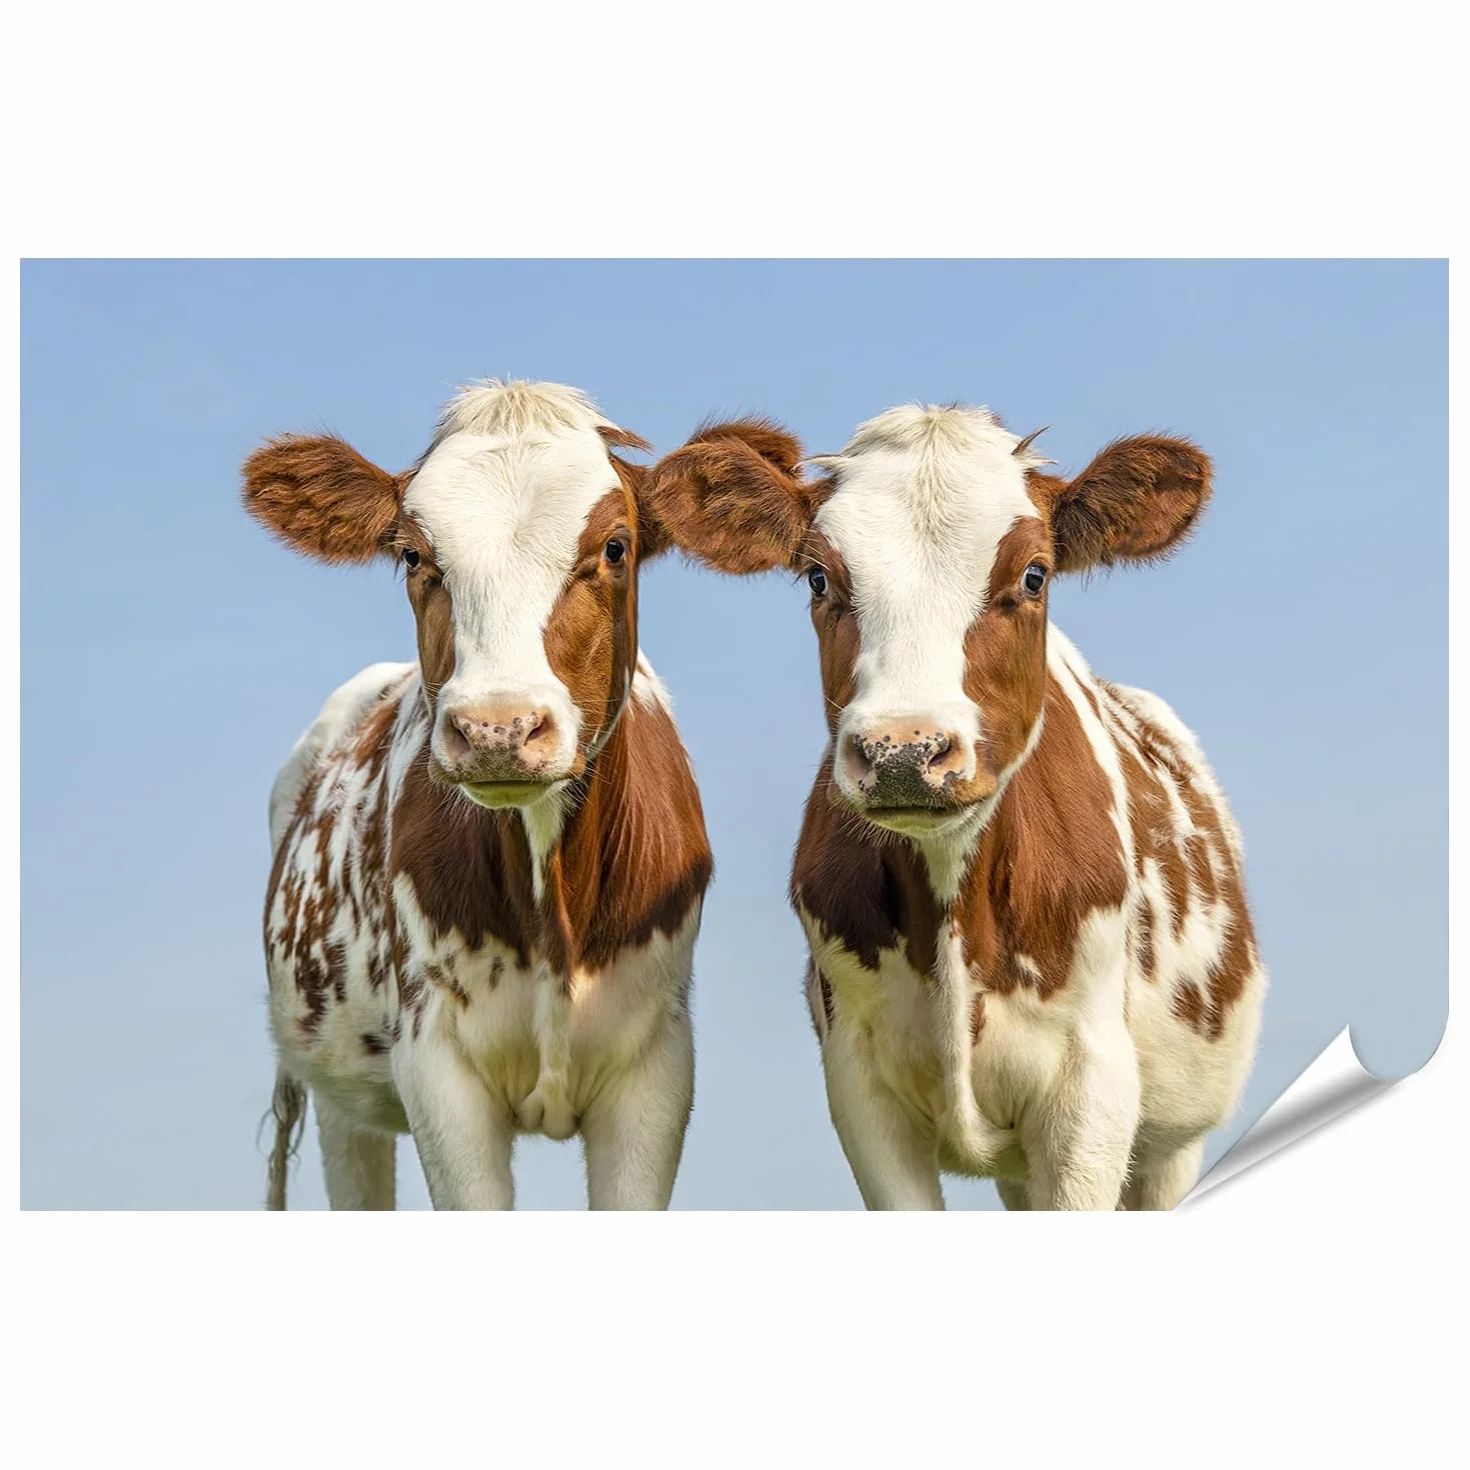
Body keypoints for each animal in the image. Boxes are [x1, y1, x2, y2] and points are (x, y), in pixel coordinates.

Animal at [244, 380, 726, 1210]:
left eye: (616, 547)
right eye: (412, 553)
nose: (498, 727)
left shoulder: (657, 1070)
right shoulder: (438, 1069)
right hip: (342, 1097)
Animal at [641, 403, 1267, 1209]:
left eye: (1033, 574)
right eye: (818, 576)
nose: (904, 750)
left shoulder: (1092, 1090)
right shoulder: (861, 1085)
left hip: (1172, 1145)